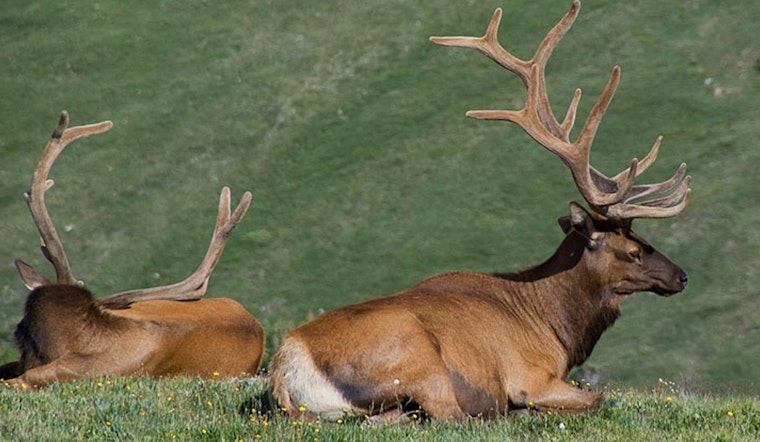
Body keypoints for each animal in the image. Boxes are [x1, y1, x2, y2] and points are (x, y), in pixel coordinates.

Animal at [269, 0, 691, 421]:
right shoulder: (530, 374)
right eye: (634, 251)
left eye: (644, 239)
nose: (682, 276)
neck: (555, 328)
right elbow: (600, 398)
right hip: (421, 359)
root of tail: (287, 371)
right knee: (446, 415)